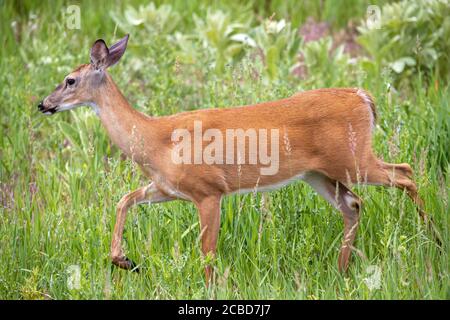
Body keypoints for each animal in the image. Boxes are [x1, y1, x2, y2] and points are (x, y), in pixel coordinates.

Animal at [37, 35, 440, 284]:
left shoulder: (208, 190)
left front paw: (209, 287)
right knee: (353, 204)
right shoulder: (167, 187)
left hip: (354, 158)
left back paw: (434, 242)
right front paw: (125, 261)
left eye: (70, 80)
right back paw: (341, 271)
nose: (43, 103)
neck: (155, 139)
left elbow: (207, 252)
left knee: (405, 173)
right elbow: (124, 200)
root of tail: (364, 97)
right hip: (318, 173)